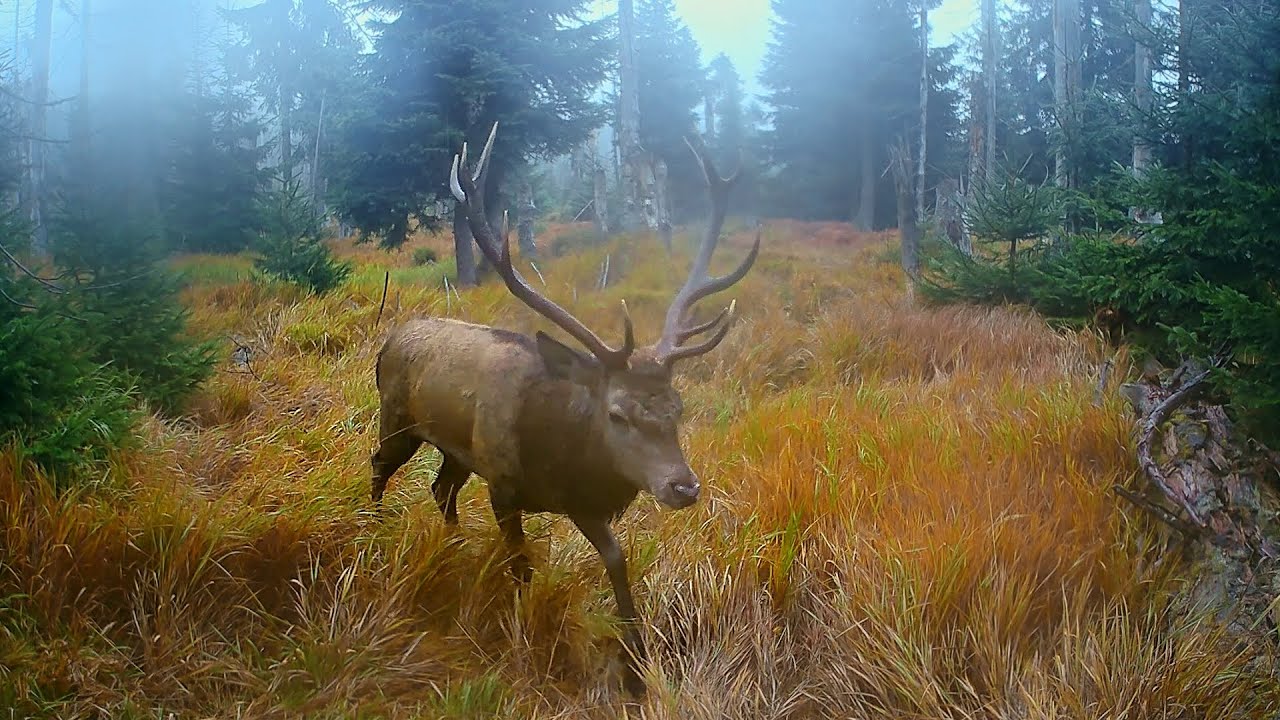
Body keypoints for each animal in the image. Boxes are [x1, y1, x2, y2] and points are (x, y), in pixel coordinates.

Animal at [369, 122, 758, 696]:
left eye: (678, 407)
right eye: (617, 413)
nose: (683, 487)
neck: (558, 457)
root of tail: (389, 341)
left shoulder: (583, 500)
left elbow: (617, 563)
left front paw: (636, 670)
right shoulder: (504, 485)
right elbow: (523, 566)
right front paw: (525, 638)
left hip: (457, 451)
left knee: (441, 488)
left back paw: (454, 547)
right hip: (399, 419)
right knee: (379, 465)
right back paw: (373, 528)